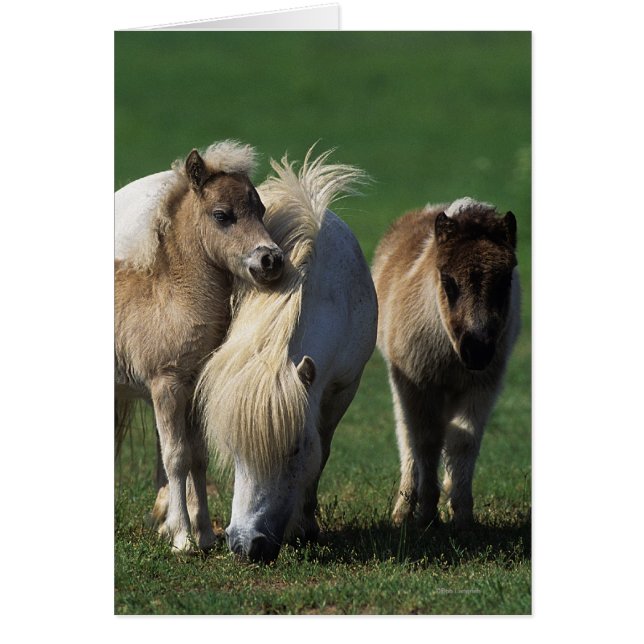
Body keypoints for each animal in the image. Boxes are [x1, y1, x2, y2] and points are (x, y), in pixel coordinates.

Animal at [115, 140, 284, 552]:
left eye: (260, 209)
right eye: (222, 215)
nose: (271, 260)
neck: (171, 299)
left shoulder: (194, 391)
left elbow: (198, 458)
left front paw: (205, 535)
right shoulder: (166, 385)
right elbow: (175, 457)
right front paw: (182, 538)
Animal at [372, 197, 520, 530]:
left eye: (505, 280)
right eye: (448, 281)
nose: (477, 349)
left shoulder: (482, 386)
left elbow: (462, 441)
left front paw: (462, 517)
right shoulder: (418, 383)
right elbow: (426, 441)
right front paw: (426, 515)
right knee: (407, 437)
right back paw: (403, 511)